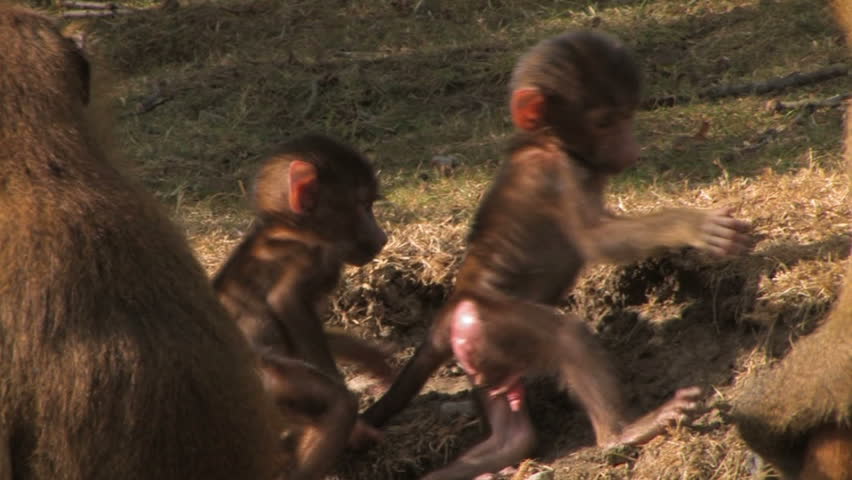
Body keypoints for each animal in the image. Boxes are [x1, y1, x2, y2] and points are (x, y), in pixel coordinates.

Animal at [212, 134, 390, 480]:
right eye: (363, 206)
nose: (382, 237)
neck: (291, 227)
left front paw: (373, 359)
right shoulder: (312, 256)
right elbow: (288, 302)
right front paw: (357, 430)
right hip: (266, 384)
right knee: (336, 405)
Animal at [361, 30, 751, 480]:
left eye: (628, 116)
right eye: (605, 122)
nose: (631, 149)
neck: (545, 141)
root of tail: (452, 309)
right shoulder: (557, 174)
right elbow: (598, 241)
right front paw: (694, 226)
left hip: (484, 355)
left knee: (514, 434)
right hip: (493, 324)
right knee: (567, 335)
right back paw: (622, 433)